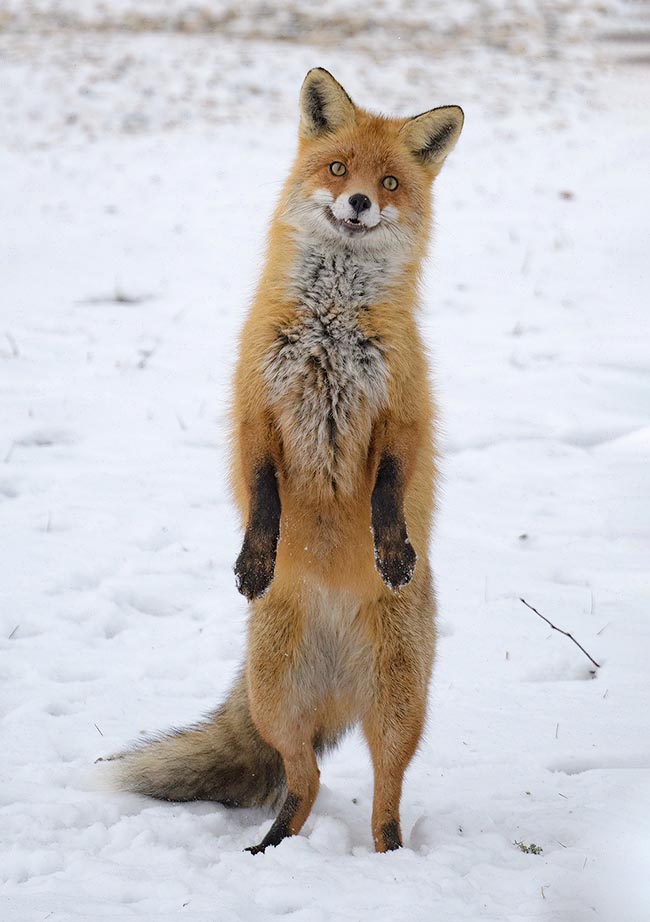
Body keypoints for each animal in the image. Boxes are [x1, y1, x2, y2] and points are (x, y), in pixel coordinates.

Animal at [112, 68, 466, 852]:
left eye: (389, 181)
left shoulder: (401, 414)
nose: (359, 203)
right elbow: (262, 495)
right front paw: (255, 560)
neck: (331, 321)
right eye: (337, 169)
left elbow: (389, 491)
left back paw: (389, 859)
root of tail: (337, 682)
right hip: (276, 702)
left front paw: (393, 551)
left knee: (382, 794)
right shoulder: (256, 413)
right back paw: (268, 848)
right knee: (305, 780)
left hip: (399, 711)